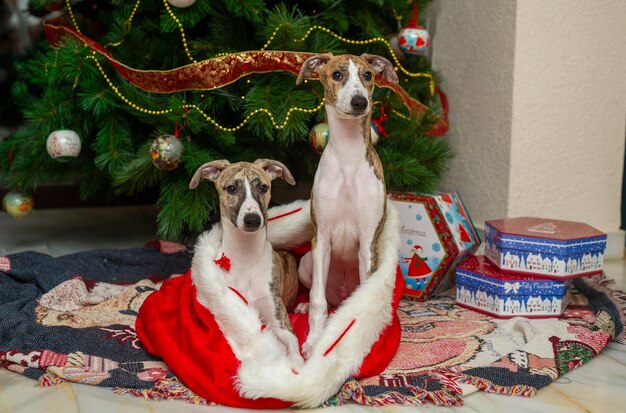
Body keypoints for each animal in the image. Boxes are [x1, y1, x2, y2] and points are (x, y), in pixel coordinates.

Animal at [189, 158, 304, 364]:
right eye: (232, 188)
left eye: (263, 187)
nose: (252, 219)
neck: (246, 255)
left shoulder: (279, 322)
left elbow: (293, 346)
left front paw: (298, 365)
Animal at [294, 53, 398, 356]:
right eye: (337, 75)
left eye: (368, 75)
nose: (360, 101)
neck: (349, 157)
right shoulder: (322, 239)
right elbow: (318, 300)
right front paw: (313, 341)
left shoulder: (367, 242)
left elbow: (365, 297)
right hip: (306, 262)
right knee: (318, 294)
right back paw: (303, 305)